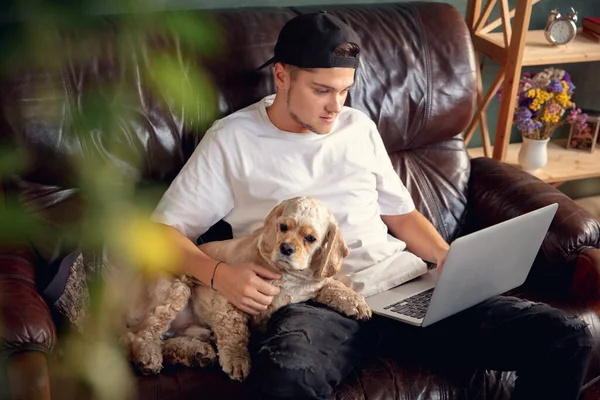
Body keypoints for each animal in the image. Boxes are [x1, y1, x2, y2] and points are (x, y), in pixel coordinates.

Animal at [123, 197, 370, 382]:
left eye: (310, 238)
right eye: (283, 227)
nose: (286, 248)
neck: (289, 275)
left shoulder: (314, 283)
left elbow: (332, 284)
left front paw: (357, 303)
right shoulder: (230, 296)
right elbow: (235, 332)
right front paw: (237, 361)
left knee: (166, 339)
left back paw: (197, 354)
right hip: (175, 291)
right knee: (141, 334)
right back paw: (148, 357)